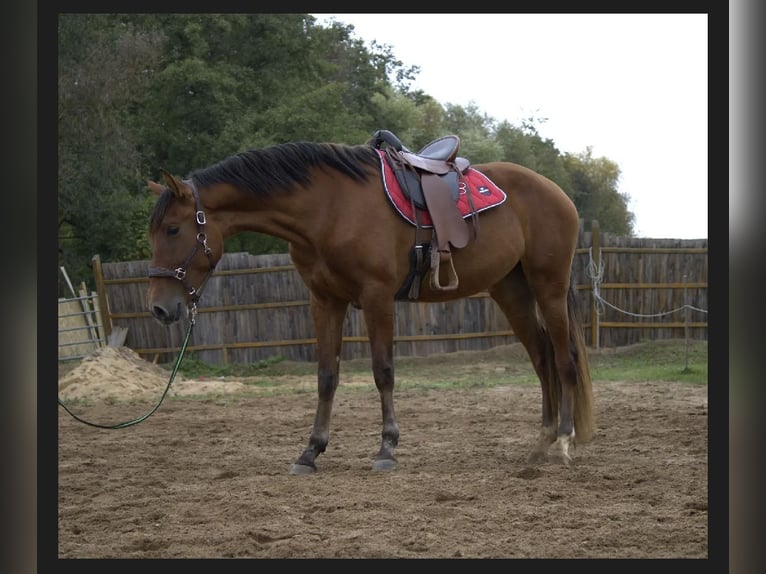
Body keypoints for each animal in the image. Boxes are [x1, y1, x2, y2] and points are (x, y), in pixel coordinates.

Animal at [147, 135, 596, 476]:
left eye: (173, 229)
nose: (160, 309)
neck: (328, 209)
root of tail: (556, 192)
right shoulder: (325, 301)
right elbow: (326, 376)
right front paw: (310, 451)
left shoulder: (376, 296)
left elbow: (383, 372)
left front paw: (386, 448)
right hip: (511, 290)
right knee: (542, 358)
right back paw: (540, 445)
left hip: (549, 287)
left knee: (564, 358)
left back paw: (564, 441)